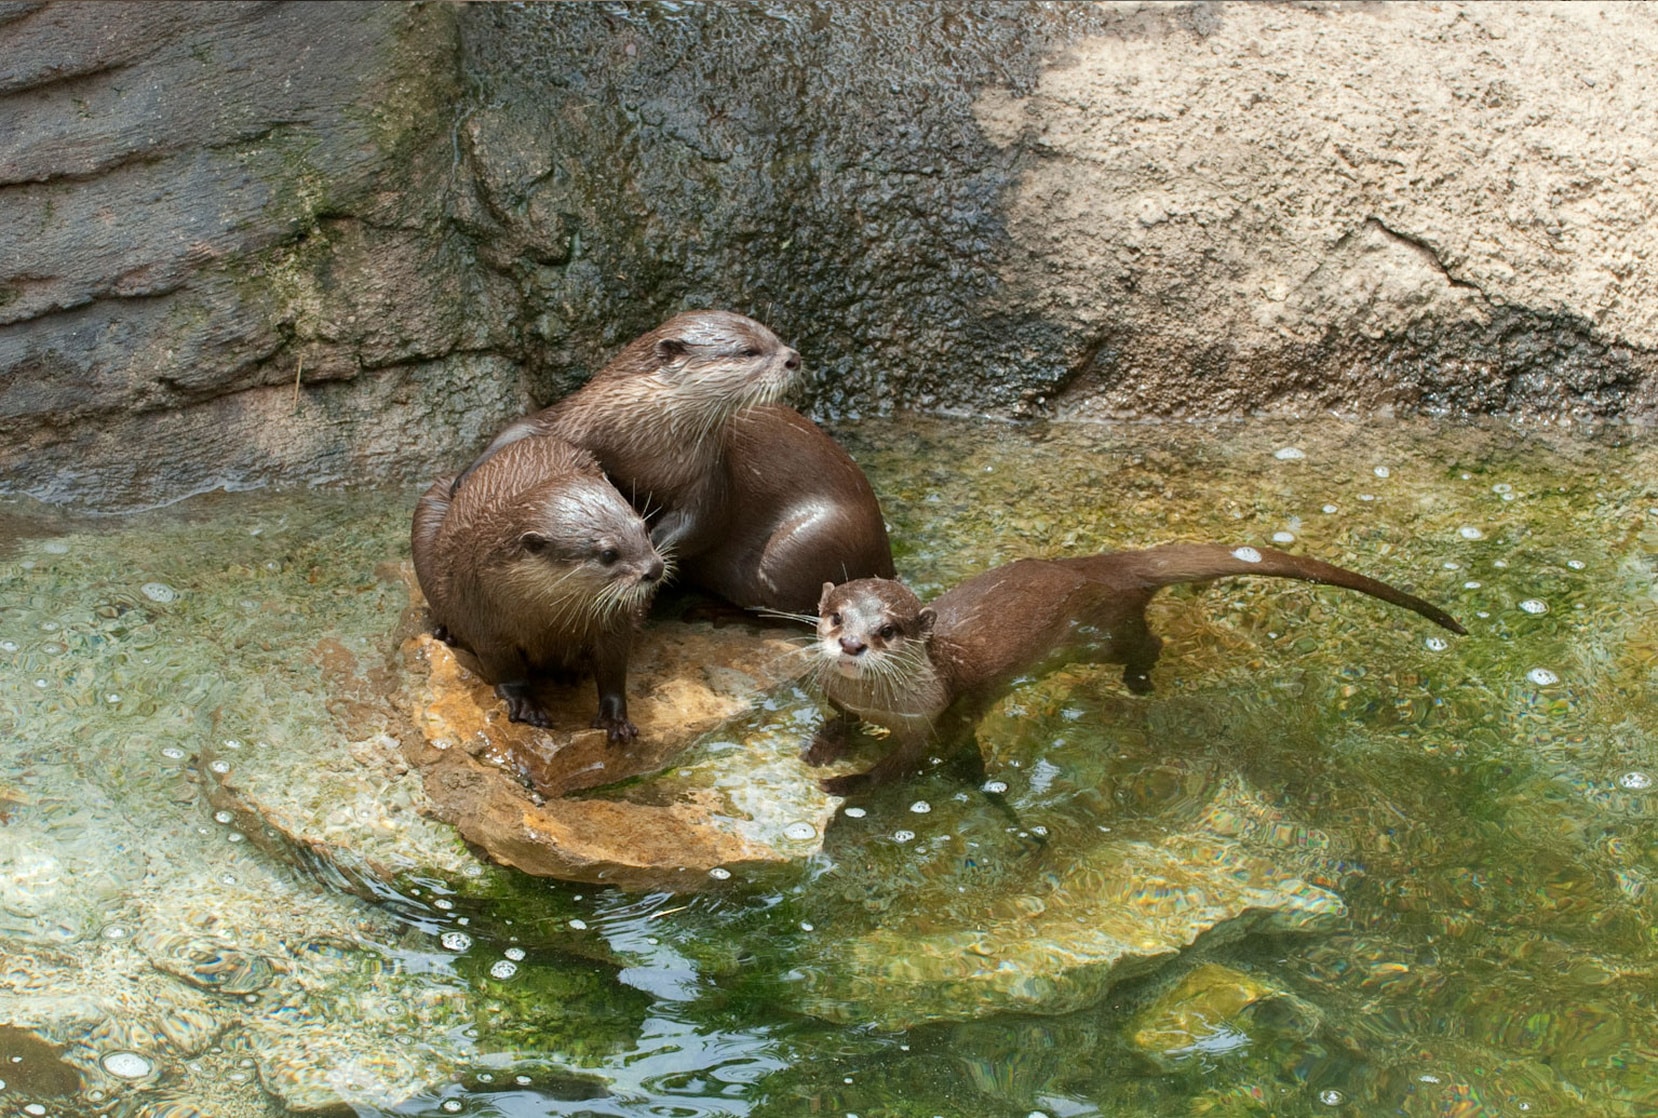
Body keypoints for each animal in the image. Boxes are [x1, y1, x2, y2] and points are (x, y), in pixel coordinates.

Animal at [412, 431, 666, 736]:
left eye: (644, 529)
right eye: (608, 553)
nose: (654, 568)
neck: (548, 620)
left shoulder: (614, 620)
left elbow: (613, 667)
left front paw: (614, 717)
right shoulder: (482, 615)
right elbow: (504, 668)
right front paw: (525, 704)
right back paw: (446, 632)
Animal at [450, 308, 895, 610]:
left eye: (777, 338)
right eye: (749, 350)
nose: (793, 356)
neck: (645, 442)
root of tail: (885, 555)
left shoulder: (710, 474)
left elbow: (702, 522)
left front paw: (652, 555)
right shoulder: (577, 416)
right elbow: (524, 426)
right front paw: (463, 478)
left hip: (809, 541)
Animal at [802, 540, 1465, 792]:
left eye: (888, 630)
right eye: (835, 616)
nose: (853, 645)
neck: (881, 704)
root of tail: (1102, 567)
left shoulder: (933, 720)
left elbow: (903, 768)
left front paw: (848, 783)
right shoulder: (844, 697)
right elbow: (836, 715)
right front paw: (825, 747)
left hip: (1101, 634)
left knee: (1147, 643)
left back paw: (1141, 681)